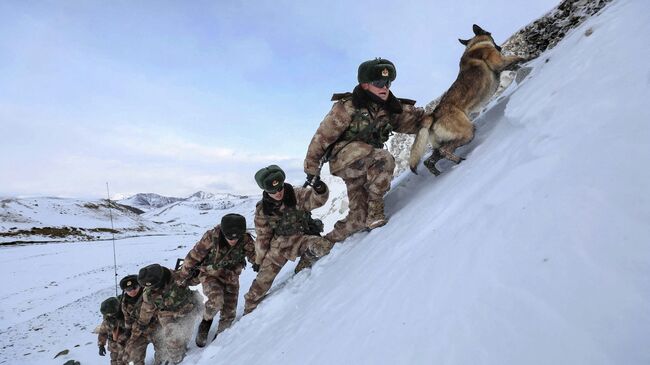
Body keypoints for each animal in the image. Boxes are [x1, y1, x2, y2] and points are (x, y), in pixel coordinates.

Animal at [408, 24, 524, 175]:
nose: (499, 47)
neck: (475, 45)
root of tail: (433, 115)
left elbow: (517, 63)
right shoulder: (500, 62)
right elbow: (520, 57)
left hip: (444, 142)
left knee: (430, 160)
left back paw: (440, 171)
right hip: (467, 132)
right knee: (445, 151)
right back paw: (459, 162)